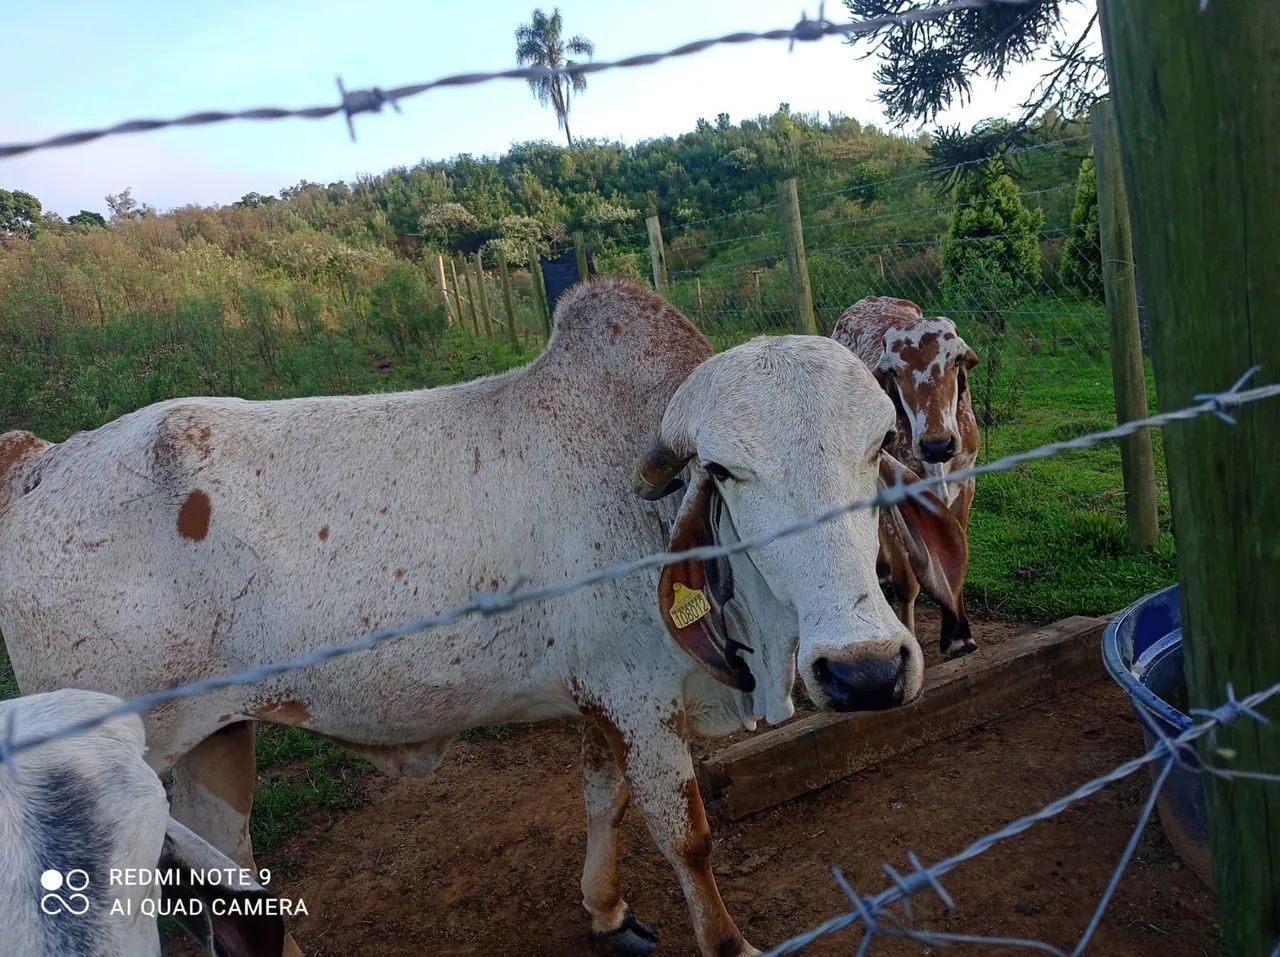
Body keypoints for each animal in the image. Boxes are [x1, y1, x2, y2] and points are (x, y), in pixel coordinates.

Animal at [832, 296, 981, 656]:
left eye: (955, 360)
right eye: (893, 371)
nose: (937, 444)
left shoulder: (966, 484)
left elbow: (955, 554)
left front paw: (959, 634)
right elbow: (907, 581)